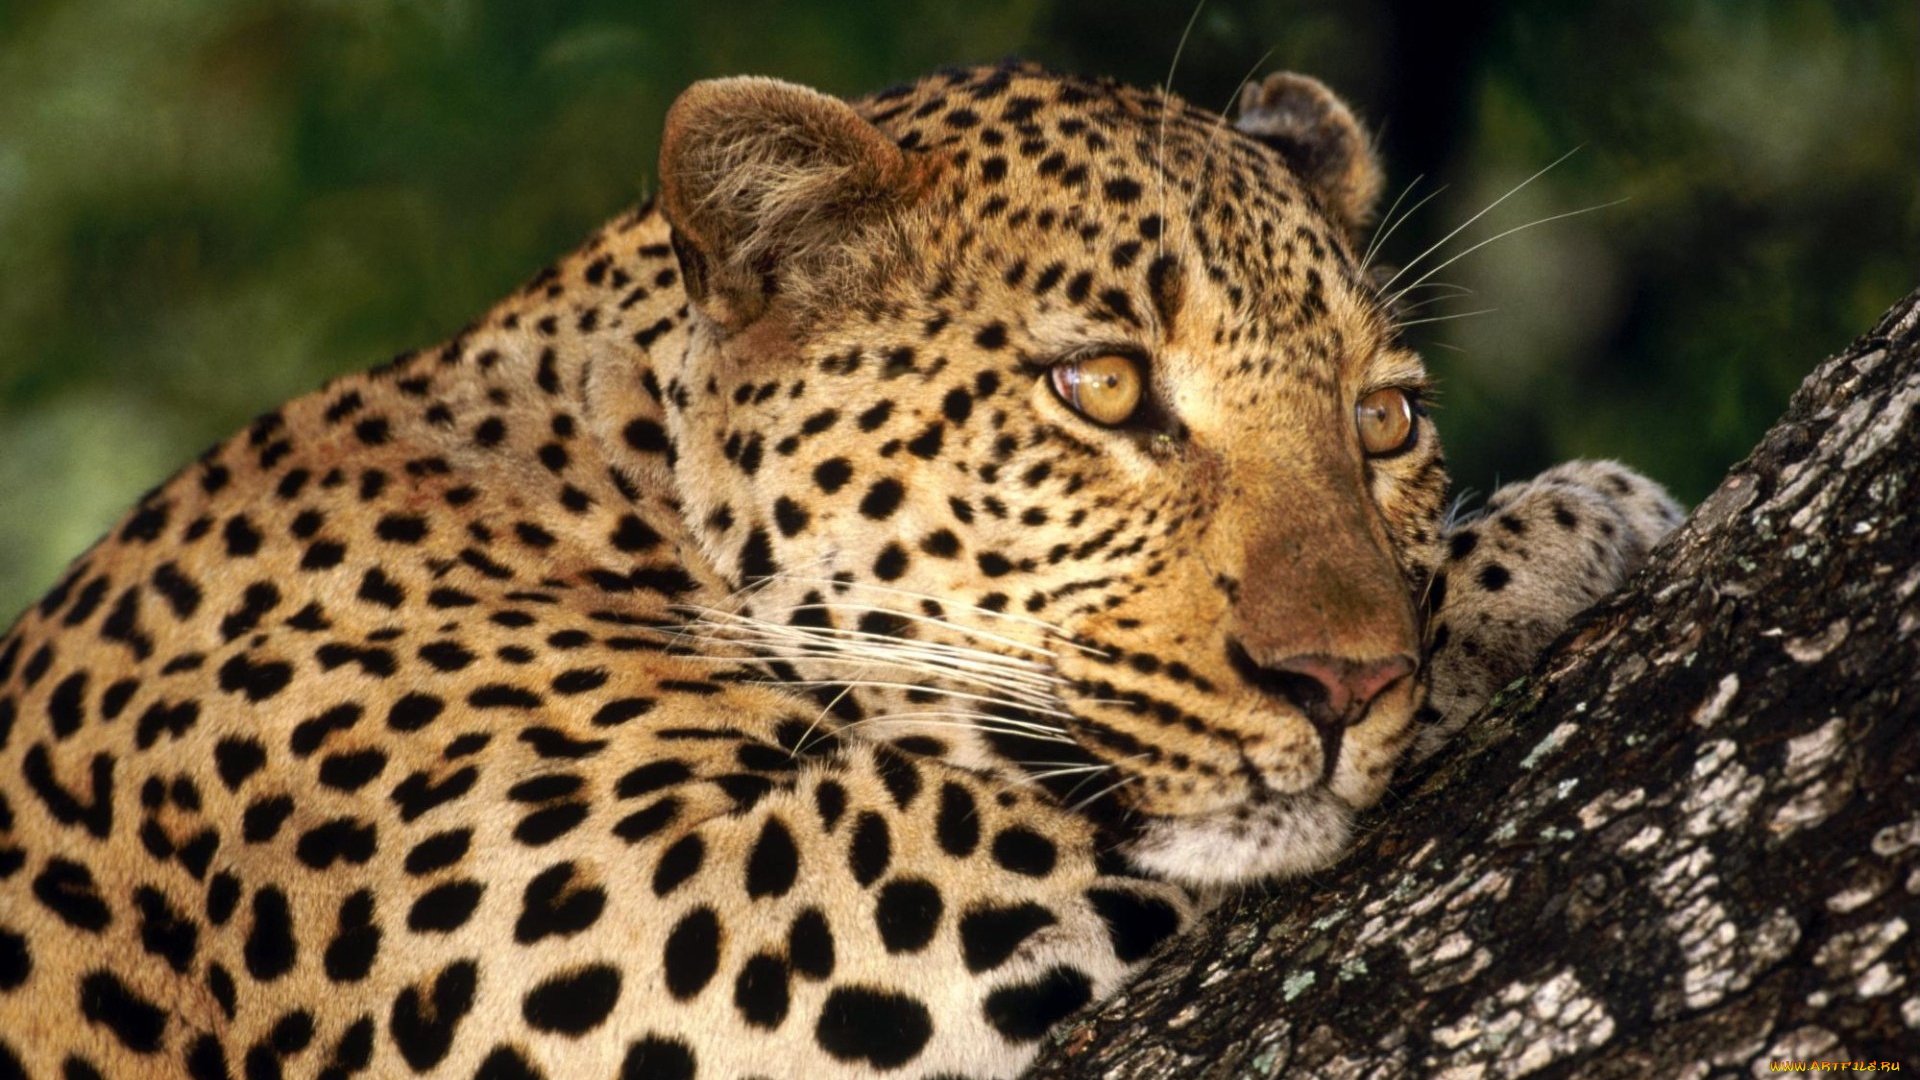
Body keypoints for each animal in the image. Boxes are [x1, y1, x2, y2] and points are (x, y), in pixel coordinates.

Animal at [0, 61, 1683, 1080]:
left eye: (1384, 420)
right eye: (1103, 389)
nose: (1347, 680)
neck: (604, 476)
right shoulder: (616, 928)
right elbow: (1000, 794)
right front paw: (1558, 534)